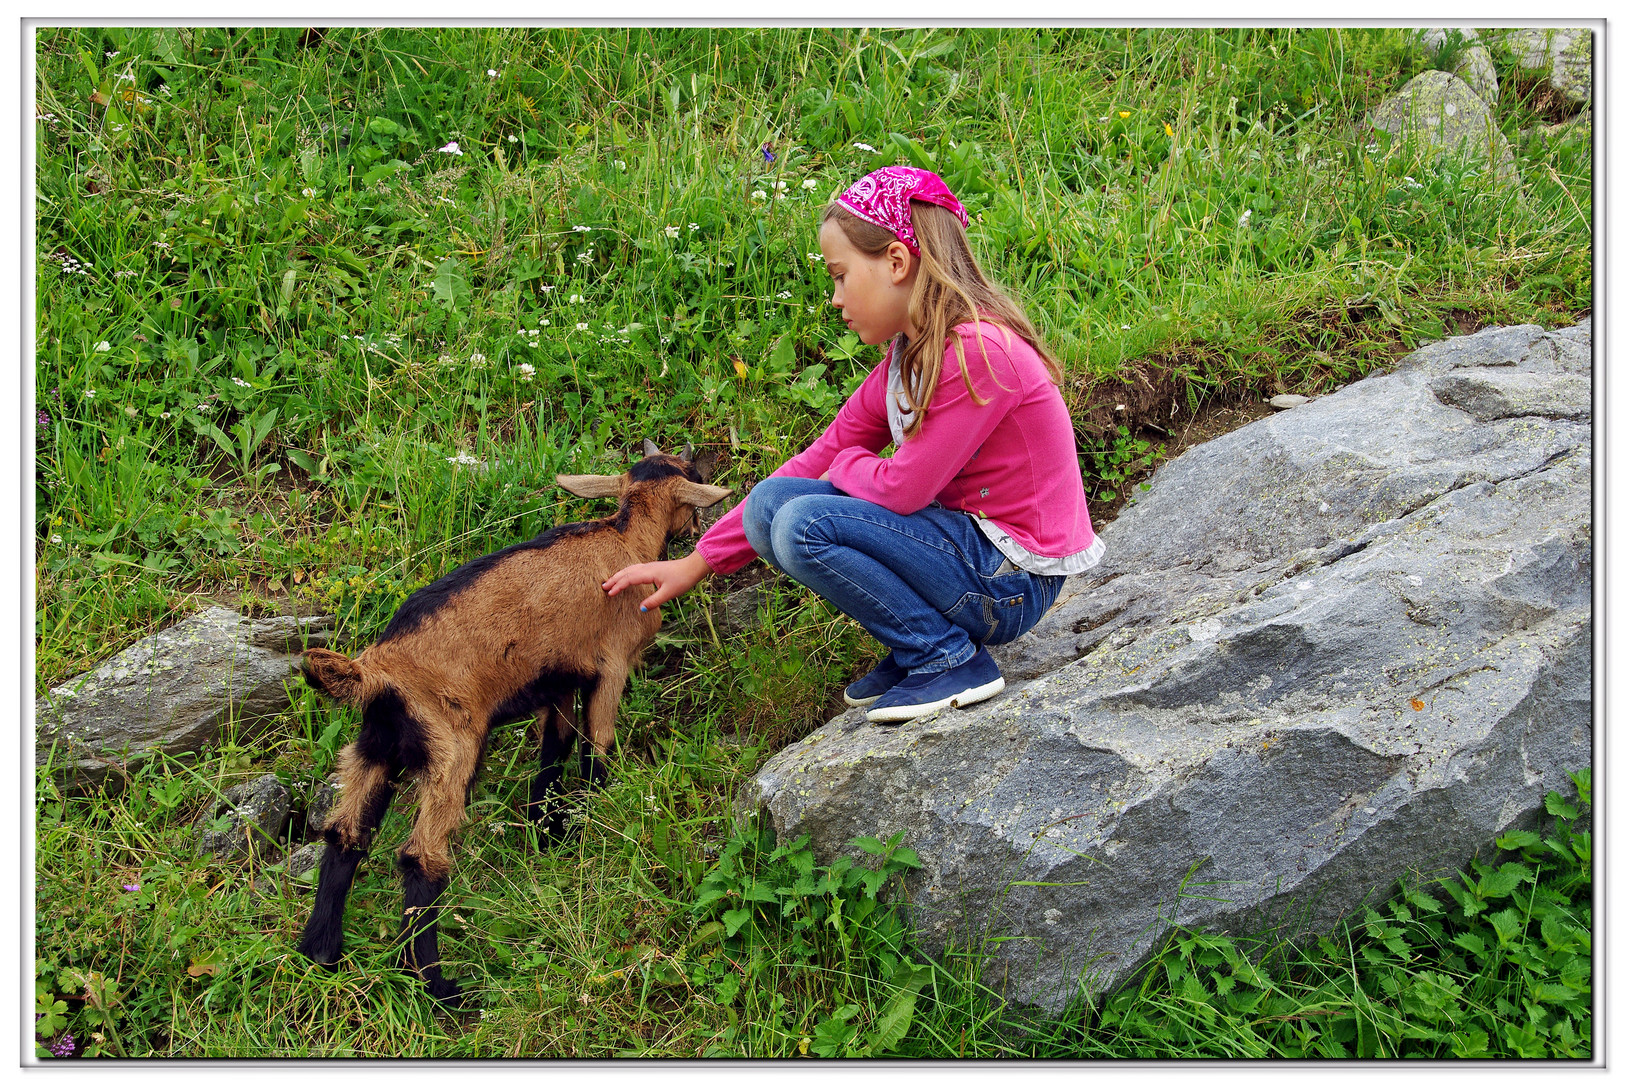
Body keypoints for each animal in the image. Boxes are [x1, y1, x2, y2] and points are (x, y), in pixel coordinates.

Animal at [295, 441, 728, 1000]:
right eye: (691, 474)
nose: (696, 525)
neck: (624, 538)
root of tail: (373, 669)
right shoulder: (611, 665)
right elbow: (596, 747)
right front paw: (590, 822)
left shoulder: (556, 683)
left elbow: (554, 751)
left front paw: (550, 832)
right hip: (451, 745)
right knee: (420, 858)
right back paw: (438, 985)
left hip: (377, 745)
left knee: (344, 835)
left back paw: (321, 952)